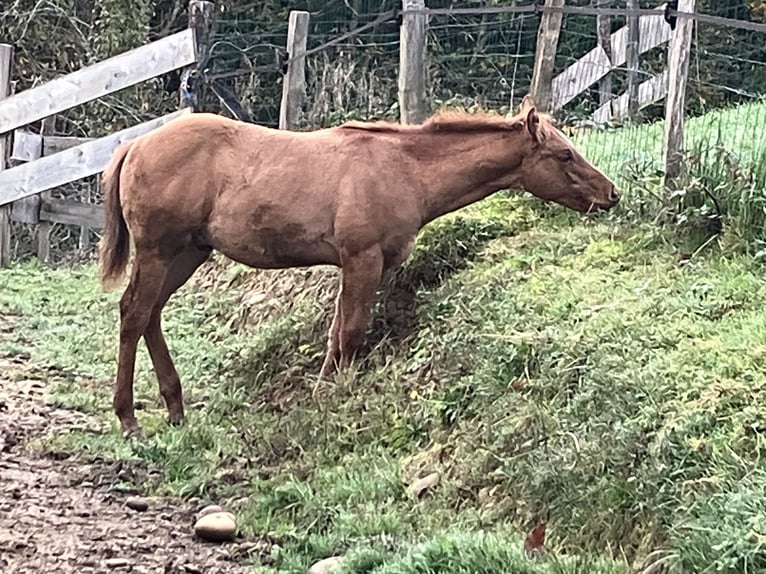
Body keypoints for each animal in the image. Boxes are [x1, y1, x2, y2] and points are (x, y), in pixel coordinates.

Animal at [99, 95, 620, 436]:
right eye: (564, 154)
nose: (611, 193)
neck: (403, 168)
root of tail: (135, 146)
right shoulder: (362, 258)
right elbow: (352, 331)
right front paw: (339, 397)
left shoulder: (365, 264)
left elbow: (337, 332)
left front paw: (323, 391)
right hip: (159, 250)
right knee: (133, 313)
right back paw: (128, 418)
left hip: (189, 252)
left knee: (151, 315)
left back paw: (175, 407)